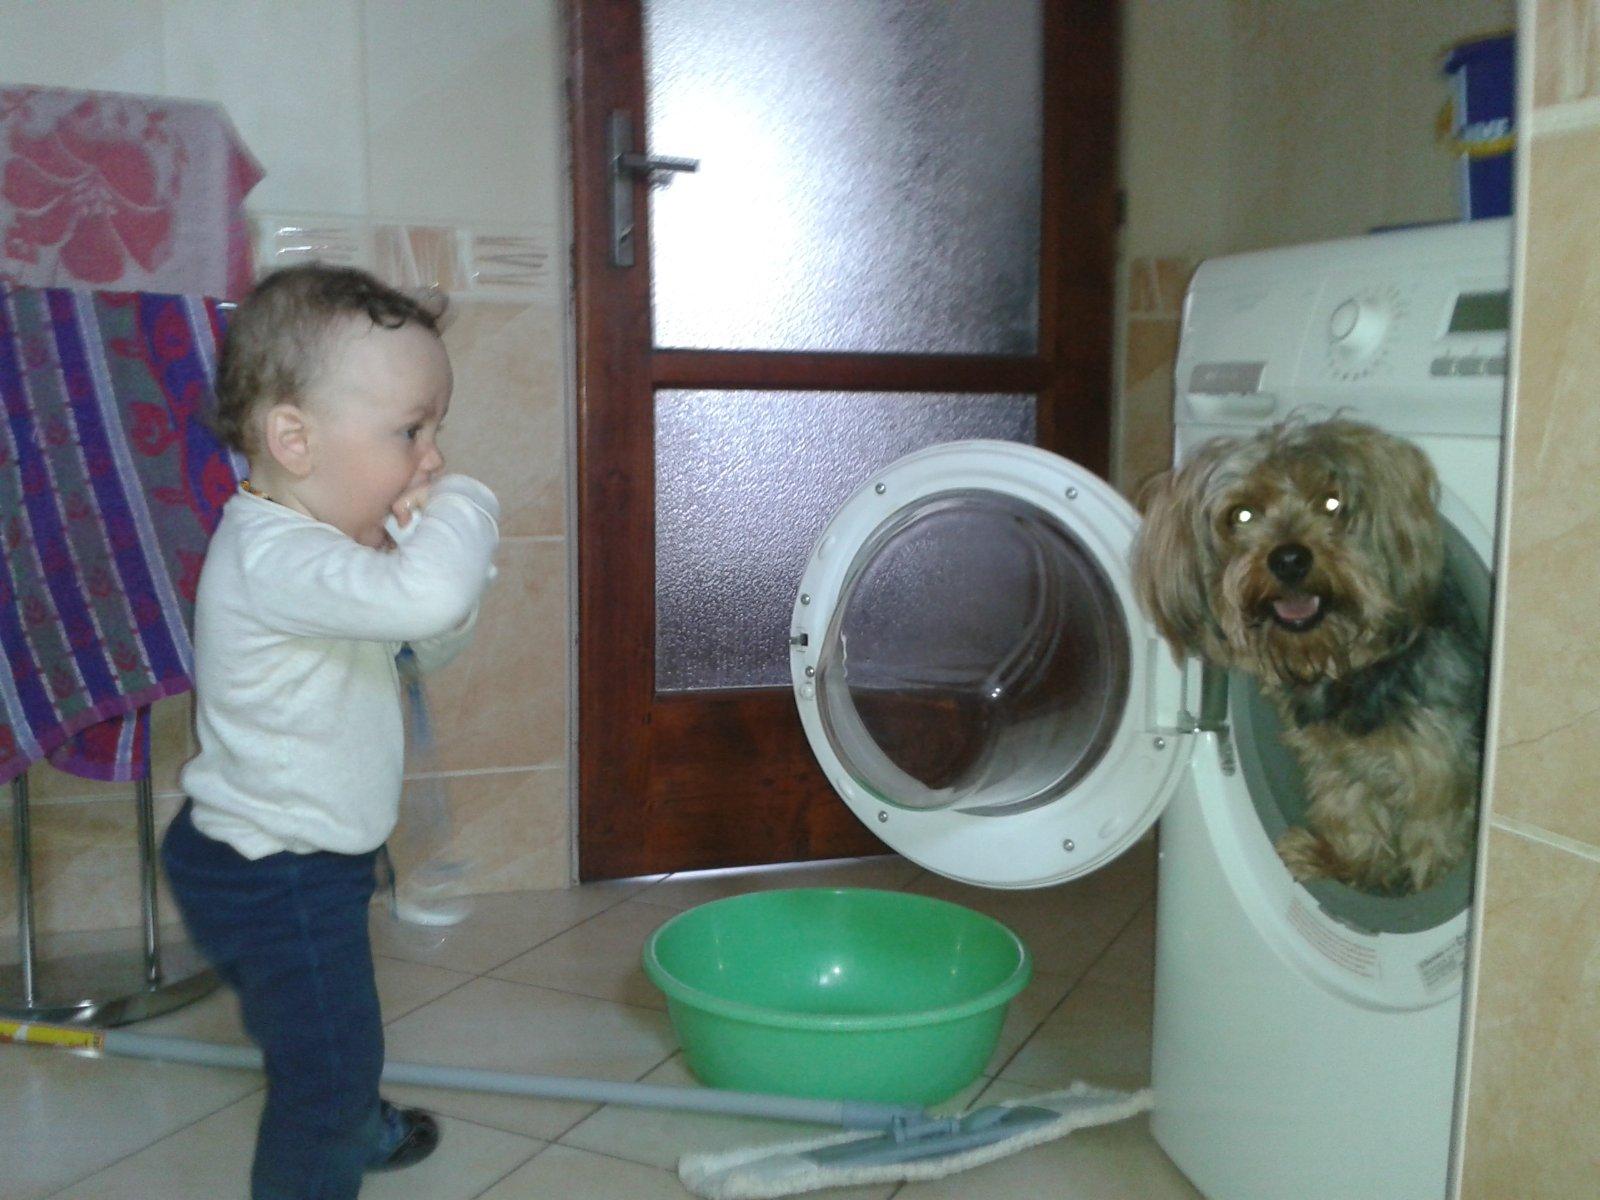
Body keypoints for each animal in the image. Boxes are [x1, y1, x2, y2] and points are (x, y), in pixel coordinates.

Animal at [1132, 419, 1485, 895]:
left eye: (1332, 503)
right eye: (1241, 514)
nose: (1289, 558)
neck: (1347, 666)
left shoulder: (1439, 769)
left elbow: (1434, 838)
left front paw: (1425, 886)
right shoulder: (1334, 760)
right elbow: (1349, 809)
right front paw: (1346, 863)